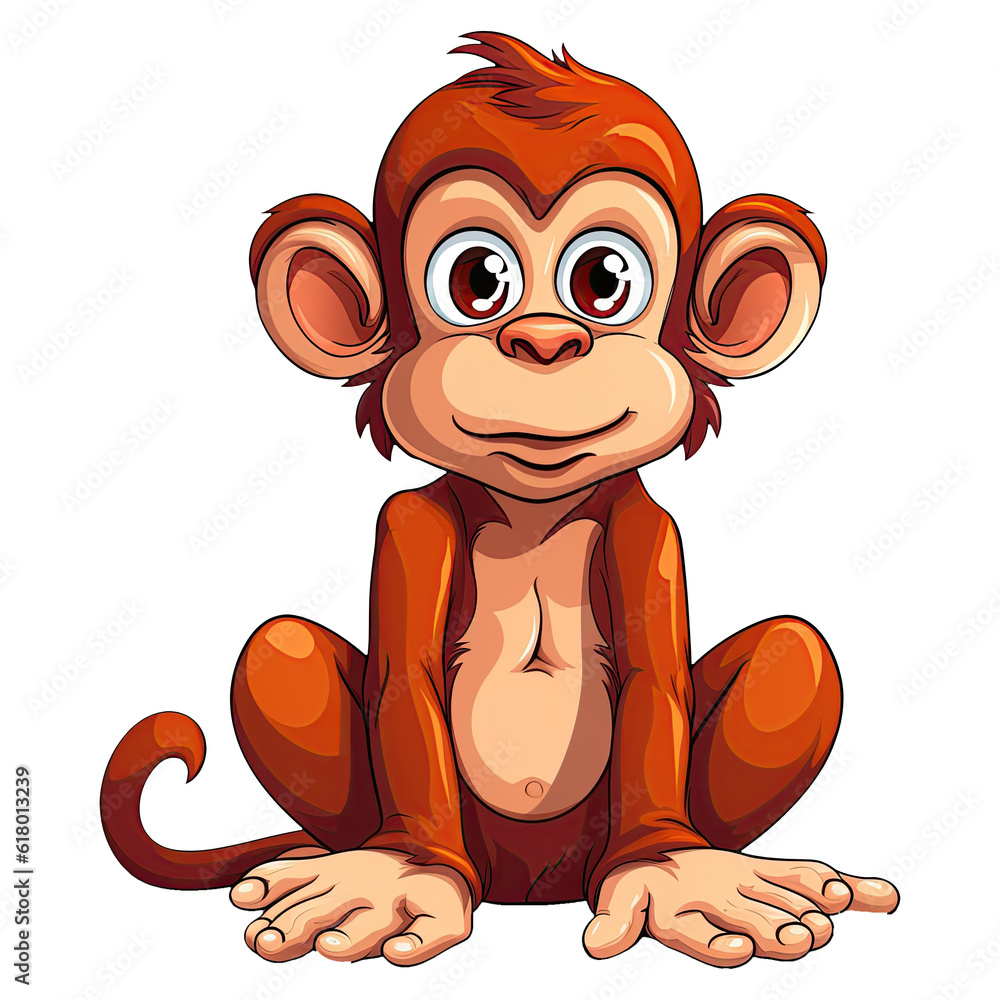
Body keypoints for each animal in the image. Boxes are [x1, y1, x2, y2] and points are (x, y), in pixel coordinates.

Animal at [101, 32, 898, 968]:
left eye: (605, 279)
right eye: (478, 279)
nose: (545, 342)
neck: (532, 512)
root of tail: (530, 893)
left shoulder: (651, 536)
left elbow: (654, 678)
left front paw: (668, 866)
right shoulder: (406, 528)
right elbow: (403, 679)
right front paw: (407, 872)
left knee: (796, 649)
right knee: (278, 649)